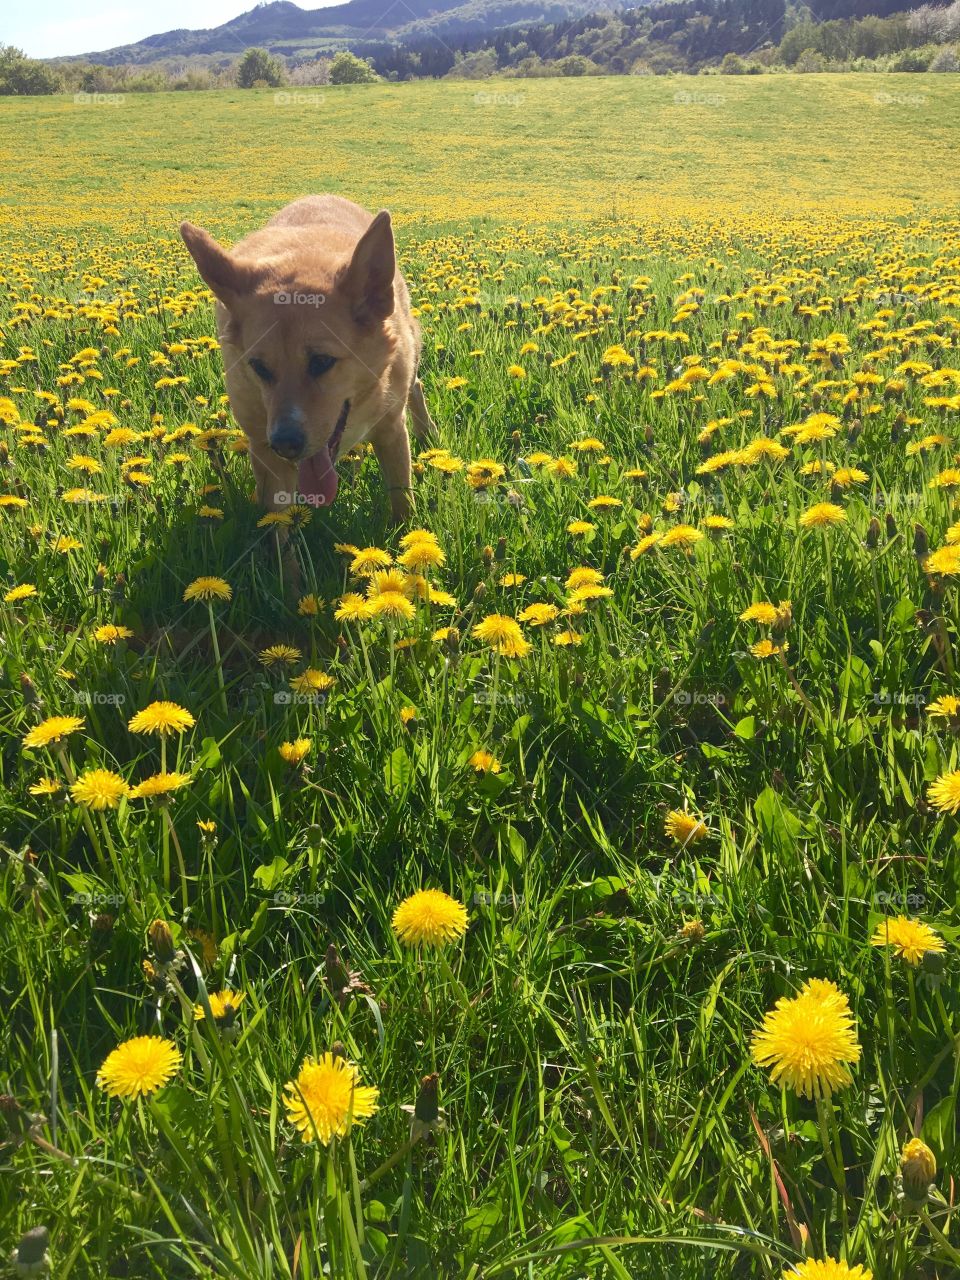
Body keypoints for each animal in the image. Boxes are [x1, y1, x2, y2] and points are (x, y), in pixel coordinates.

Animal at [180, 195, 435, 524]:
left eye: (322, 361)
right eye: (258, 367)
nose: (284, 444)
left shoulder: (391, 430)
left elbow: (402, 500)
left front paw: (402, 532)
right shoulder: (265, 454)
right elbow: (278, 523)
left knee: (415, 385)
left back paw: (426, 431)